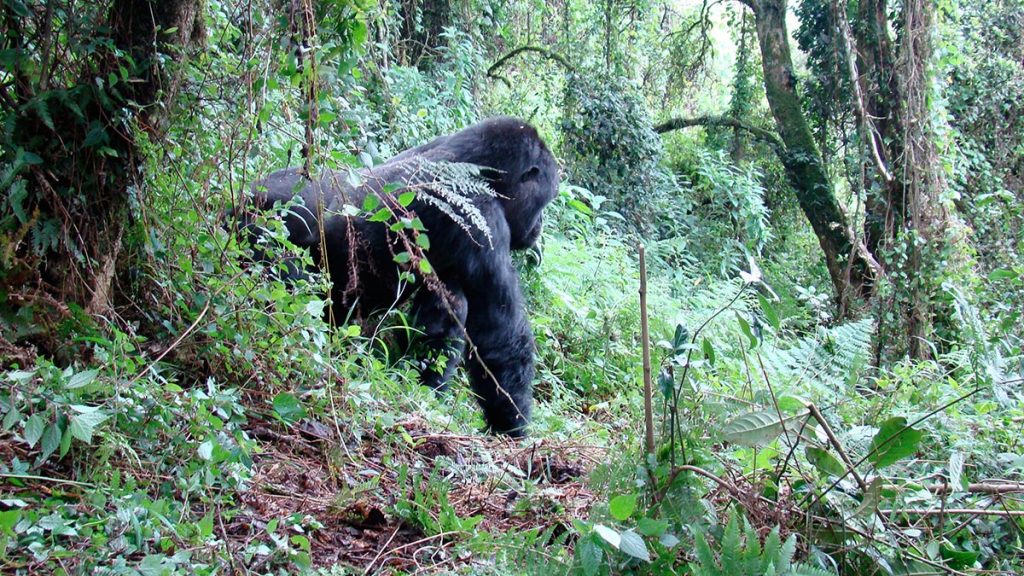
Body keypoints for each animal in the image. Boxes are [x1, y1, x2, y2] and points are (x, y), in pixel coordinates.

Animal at [247, 117, 561, 434]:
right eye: (545, 202)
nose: (540, 226)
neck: (472, 165)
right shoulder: (481, 217)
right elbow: (499, 335)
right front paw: (512, 424)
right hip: (266, 231)